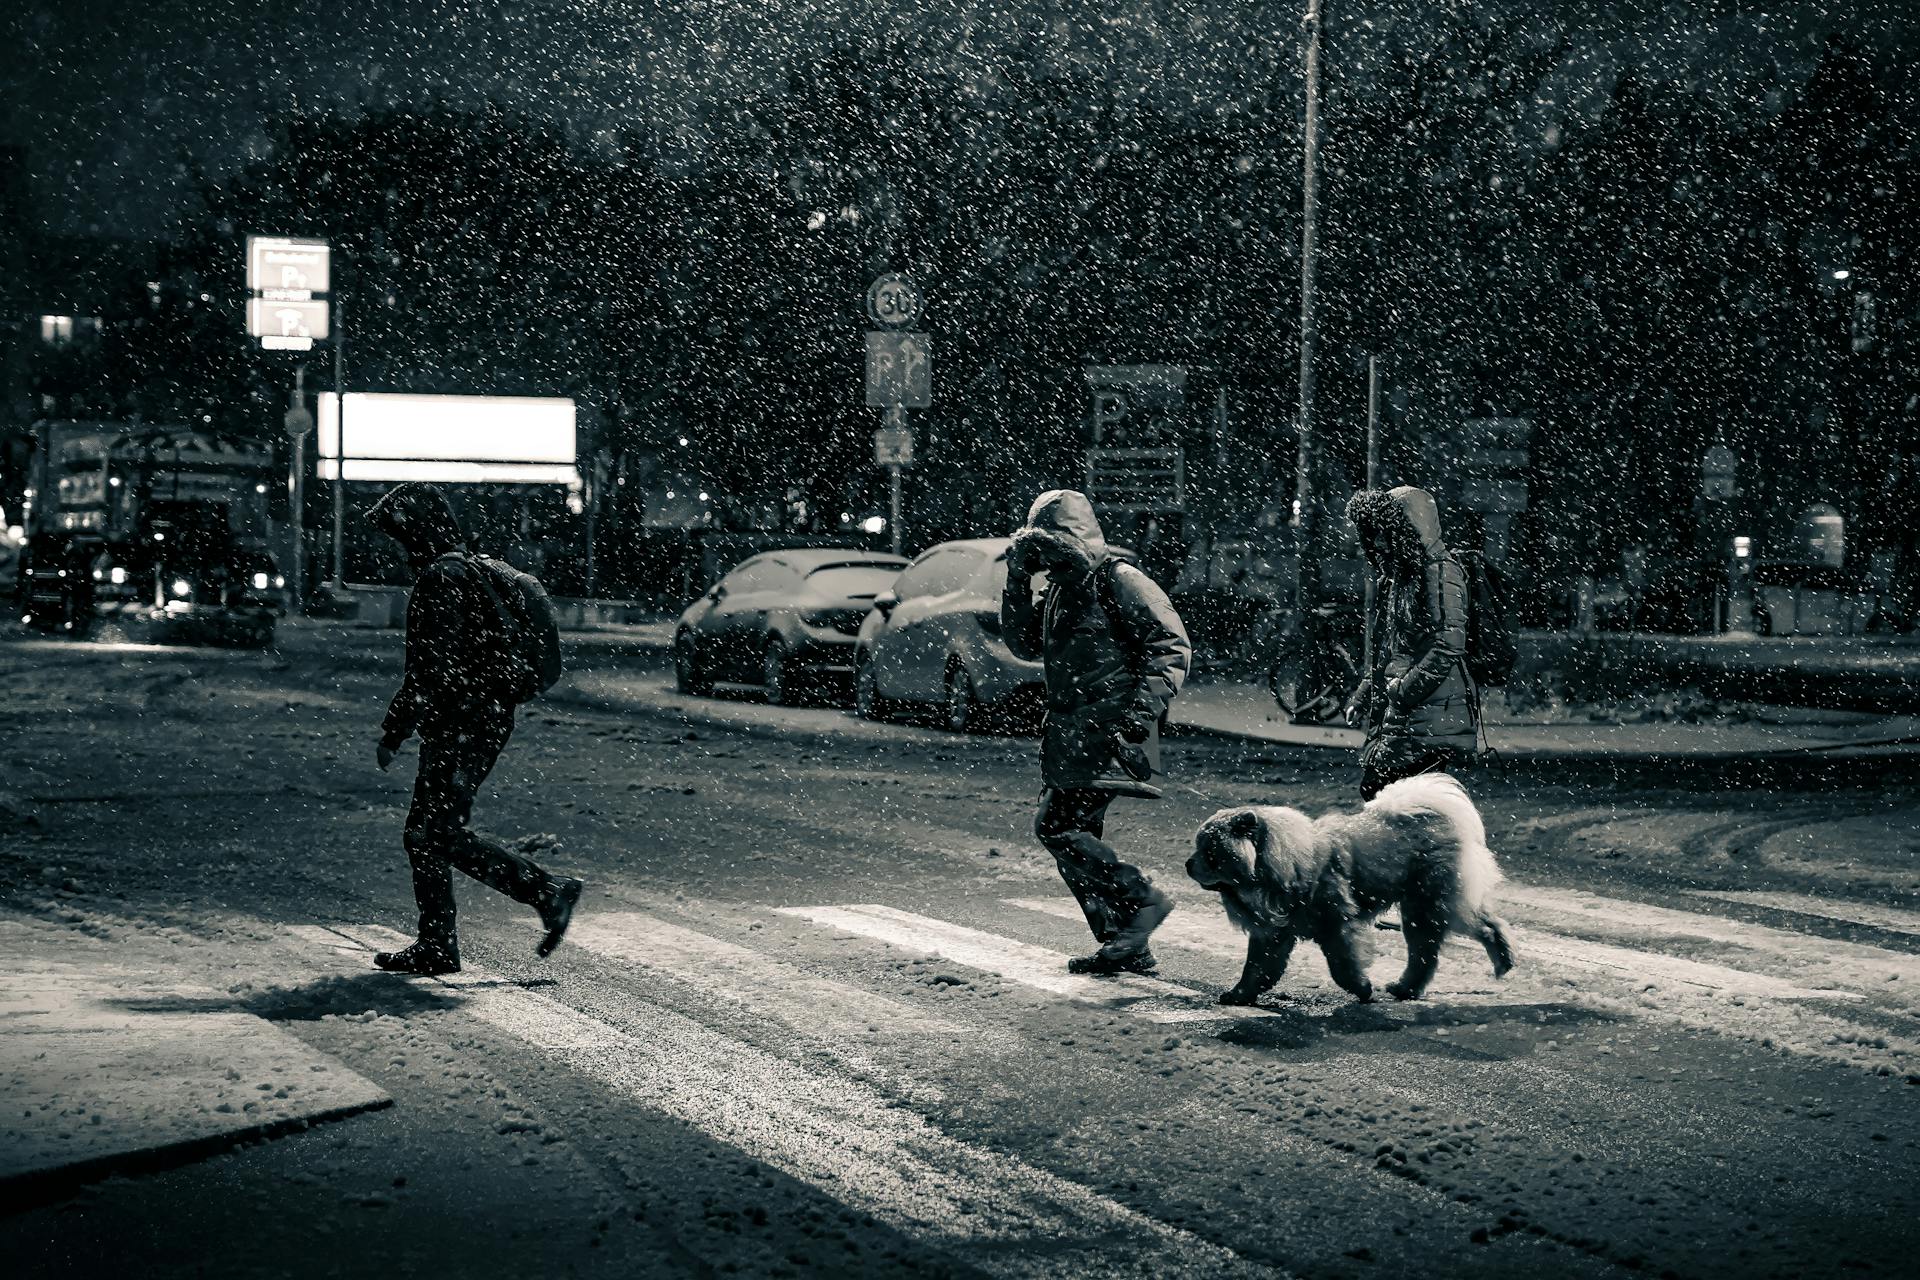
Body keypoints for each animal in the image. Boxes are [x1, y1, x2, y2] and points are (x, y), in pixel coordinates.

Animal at [1182, 775, 1512, 1005]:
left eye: (1209, 852)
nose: (1187, 863)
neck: (1281, 864)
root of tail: (1434, 816)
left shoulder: (1336, 926)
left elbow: (1341, 966)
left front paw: (1363, 989)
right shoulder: (1273, 935)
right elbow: (1255, 969)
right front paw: (1239, 995)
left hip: (1426, 907)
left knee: (1433, 950)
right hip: (1424, 909)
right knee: (1477, 930)